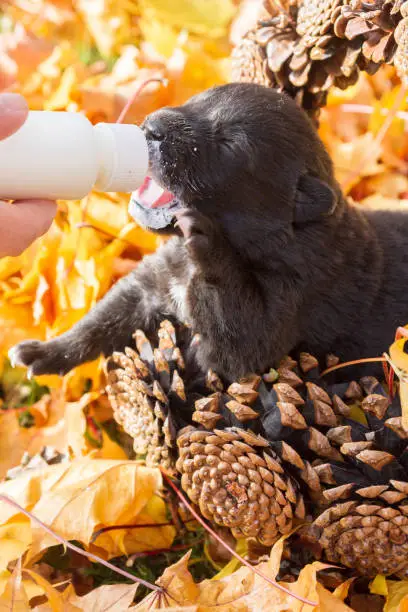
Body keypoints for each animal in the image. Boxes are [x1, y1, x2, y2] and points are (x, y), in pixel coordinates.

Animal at [7, 81, 408, 378]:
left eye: (229, 145)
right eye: (195, 100)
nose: (152, 126)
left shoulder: (286, 303)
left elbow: (238, 341)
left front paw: (209, 243)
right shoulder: (150, 283)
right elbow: (102, 317)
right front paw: (45, 352)